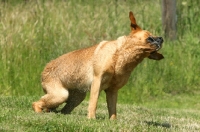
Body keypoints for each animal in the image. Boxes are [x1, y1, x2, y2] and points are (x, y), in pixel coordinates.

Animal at [32, 11, 164, 119]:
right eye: (150, 38)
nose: (162, 38)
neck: (119, 56)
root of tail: (45, 69)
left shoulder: (112, 91)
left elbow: (113, 110)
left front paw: (112, 122)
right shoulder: (97, 81)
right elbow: (93, 103)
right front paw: (91, 119)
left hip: (76, 97)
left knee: (61, 110)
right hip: (61, 95)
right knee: (36, 103)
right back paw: (39, 112)